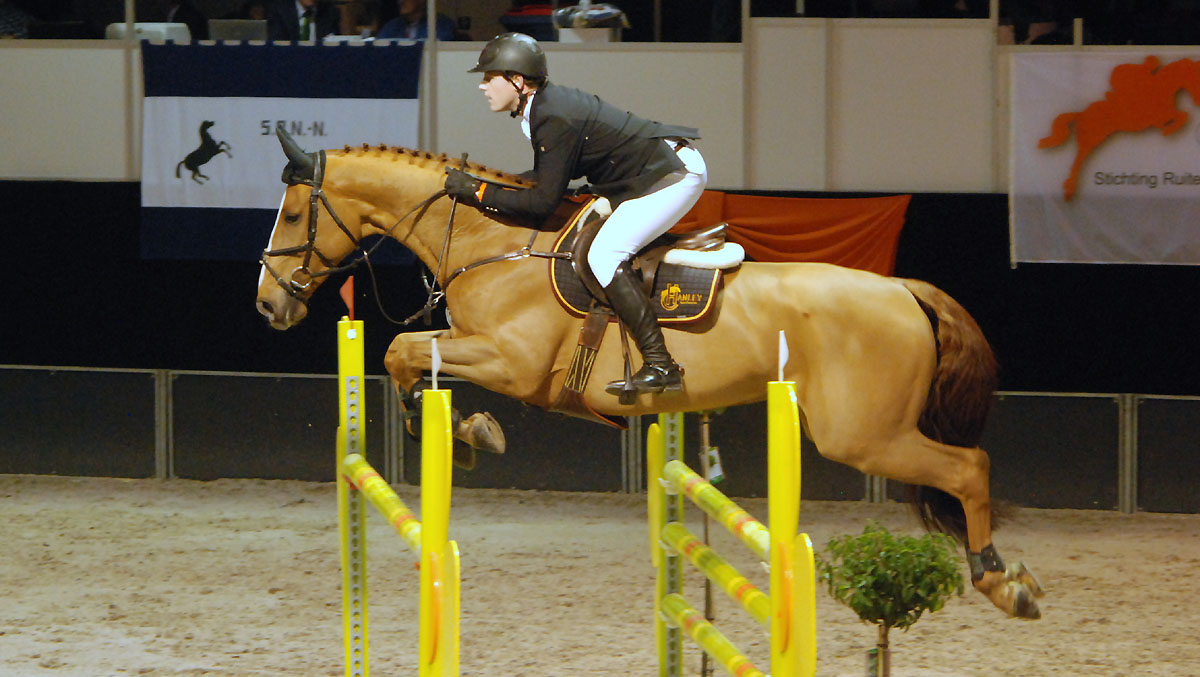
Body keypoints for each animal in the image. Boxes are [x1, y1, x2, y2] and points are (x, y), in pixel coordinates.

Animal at [258, 129, 1046, 619]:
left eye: (294, 213)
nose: (268, 304)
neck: (493, 244)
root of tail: (903, 289)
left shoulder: (512, 361)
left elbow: (400, 352)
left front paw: (473, 431)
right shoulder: (482, 348)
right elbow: (405, 354)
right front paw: (465, 430)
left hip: (864, 435)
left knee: (970, 466)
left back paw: (1002, 580)